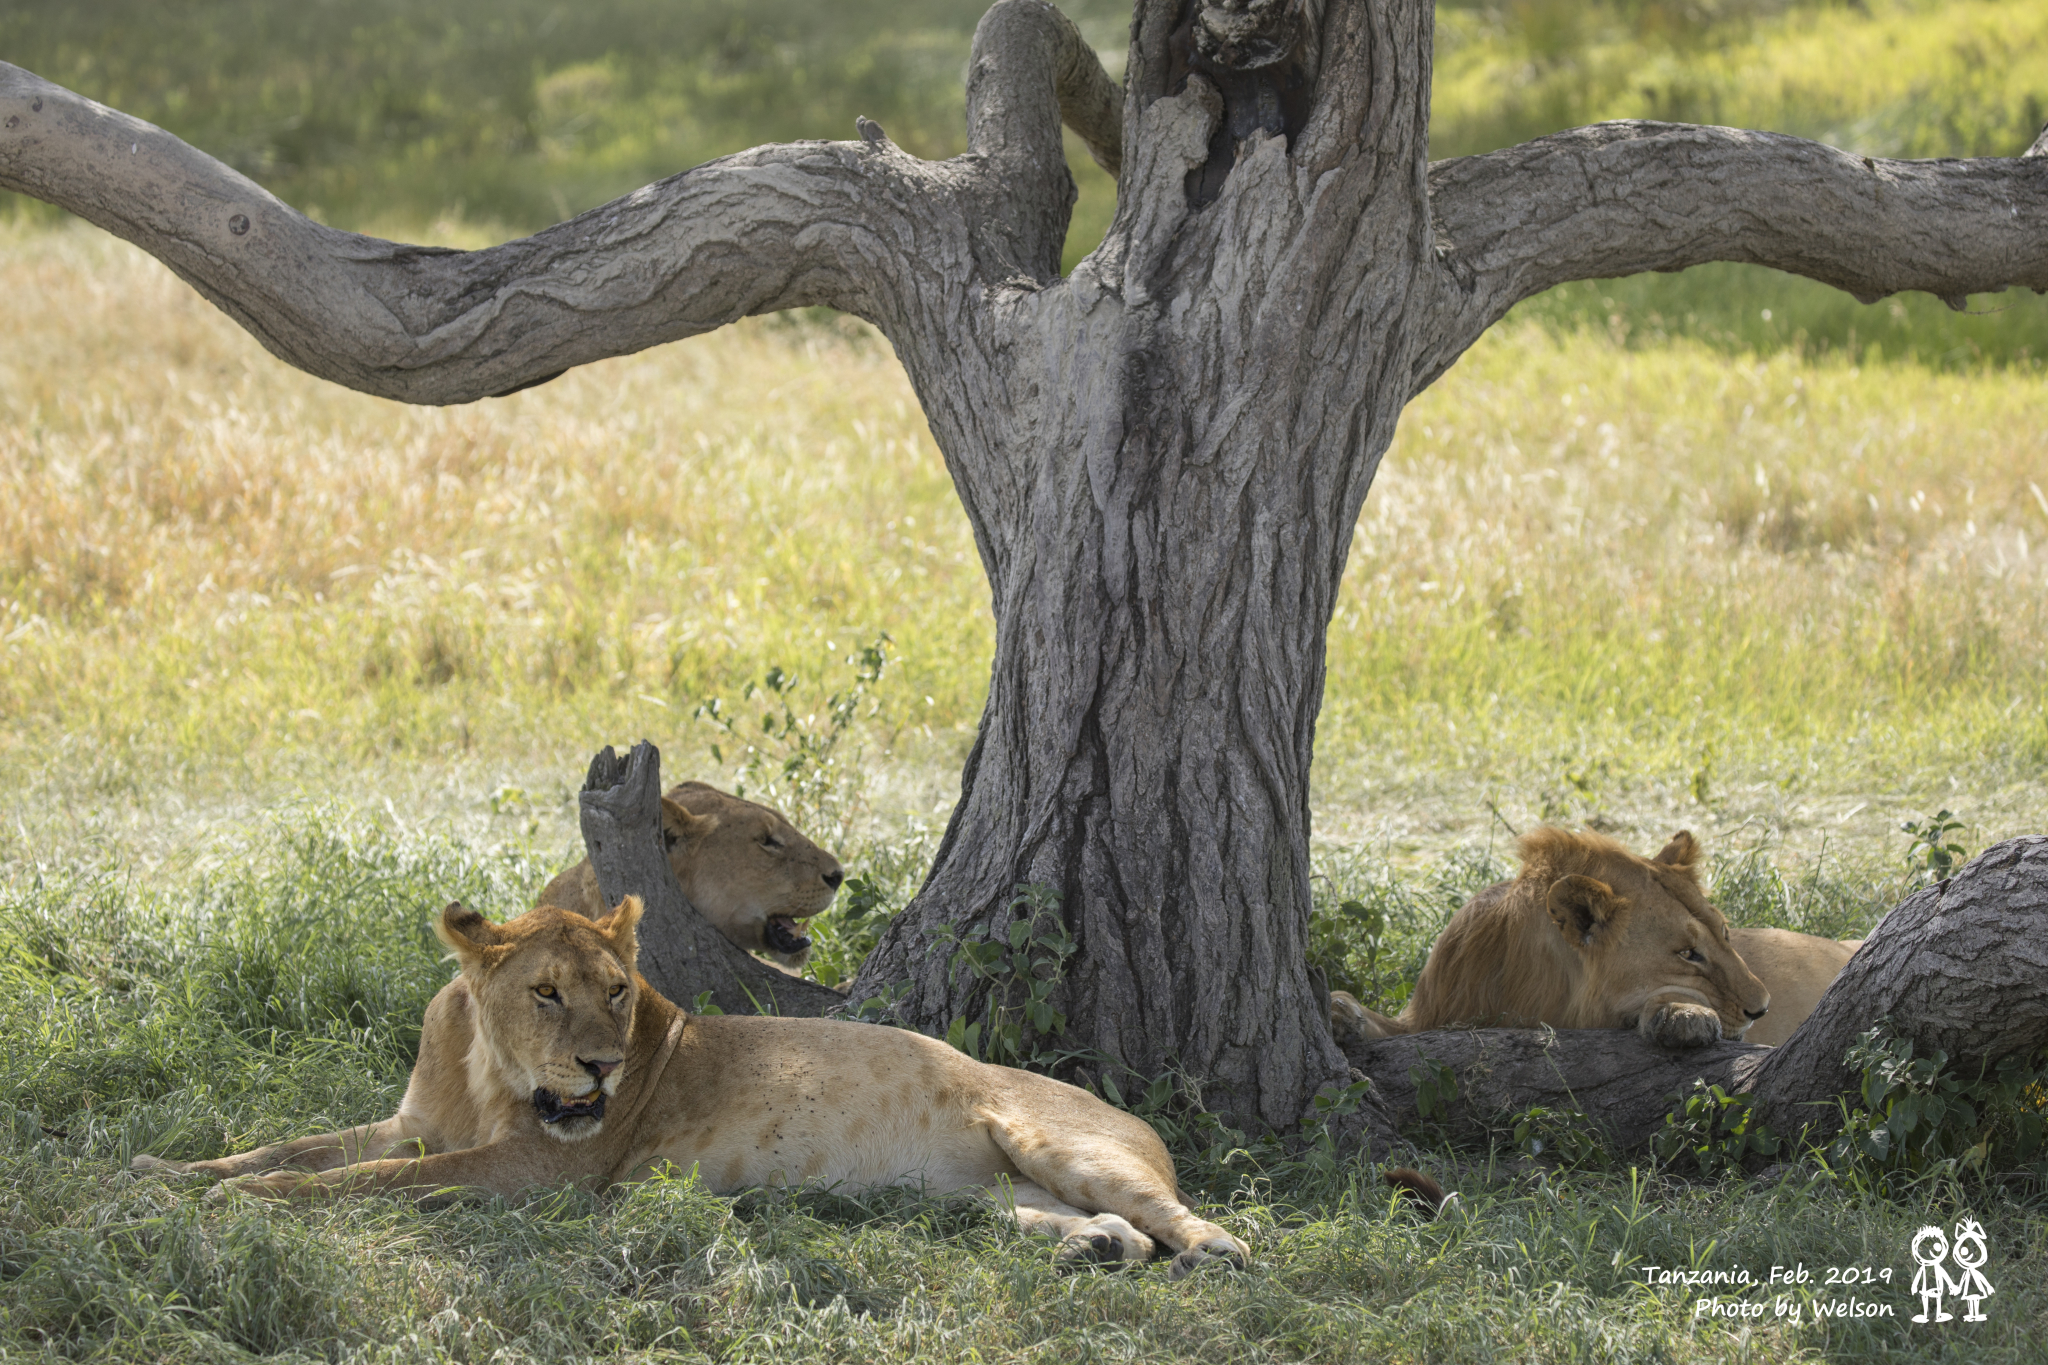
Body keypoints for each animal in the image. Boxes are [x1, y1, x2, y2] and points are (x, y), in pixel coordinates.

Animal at [136, 900, 1245, 1277]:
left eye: (618, 993)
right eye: (546, 992)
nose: (601, 1066)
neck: (485, 1069)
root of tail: (1131, 1113)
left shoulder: (535, 1174)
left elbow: (360, 1183)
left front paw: (246, 1202)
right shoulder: (413, 1123)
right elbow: (294, 1145)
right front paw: (158, 1172)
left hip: (1054, 1139)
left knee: (1174, 1214)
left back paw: (1213, 1251)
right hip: (981, 1194)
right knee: (1079, 1220)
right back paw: (1092, 1249)